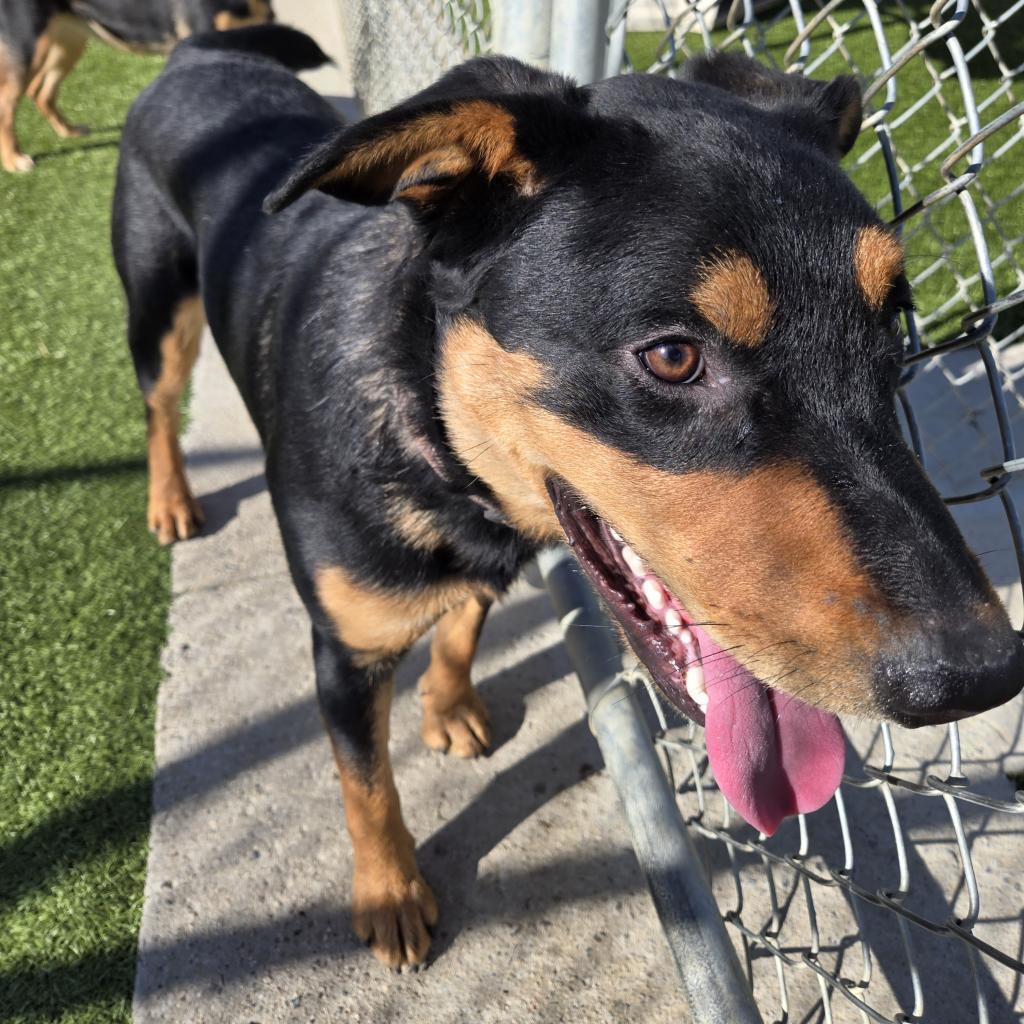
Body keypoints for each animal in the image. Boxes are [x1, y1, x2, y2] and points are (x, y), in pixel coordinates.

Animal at [0, 0, 272, 171]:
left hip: (69, 40)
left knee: (40, 91)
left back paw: (69, 131)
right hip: (27, 45)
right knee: (7, 107)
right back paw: (15, 161)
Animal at [112, 24, 1024, 966]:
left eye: (894, 322)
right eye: (672, 357)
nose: (980, 676)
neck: (438, 442)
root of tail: (198, 49)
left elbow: (466, 620)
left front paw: (450, 703)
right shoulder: (344, 649)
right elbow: (366, 784)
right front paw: (390, 893)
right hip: (159, 314)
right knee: (157, 405)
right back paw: (171, 500)